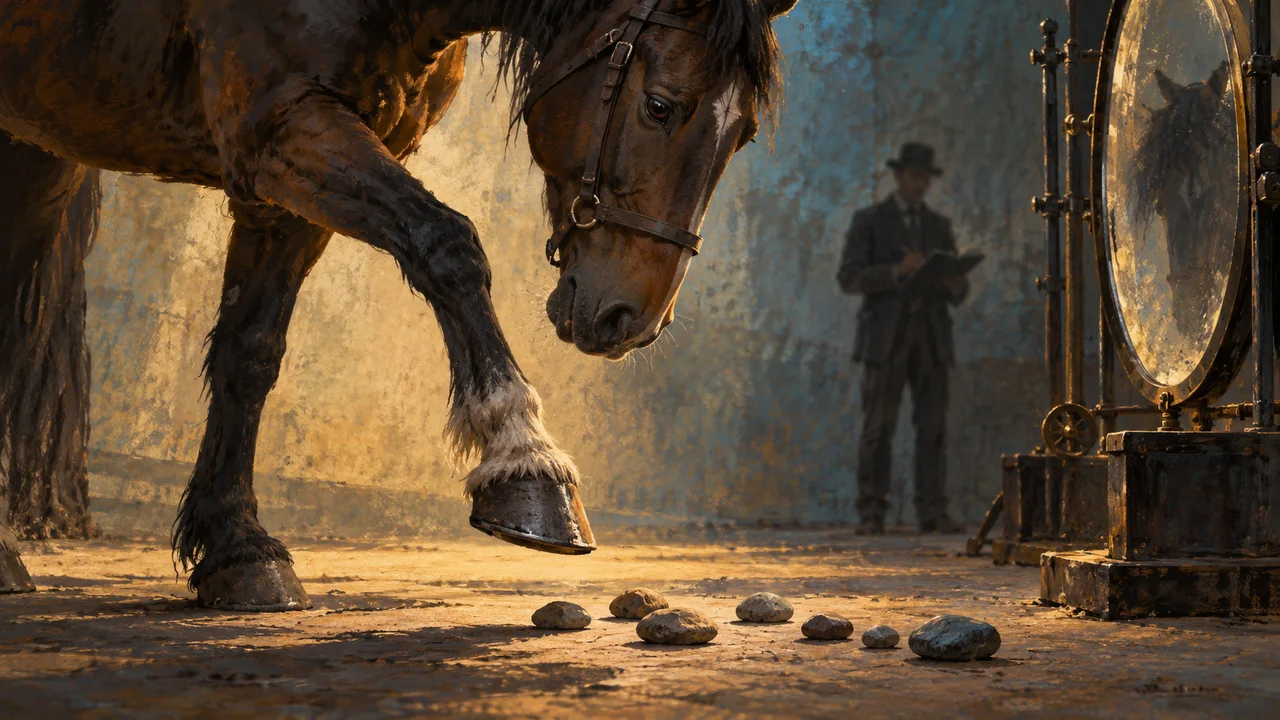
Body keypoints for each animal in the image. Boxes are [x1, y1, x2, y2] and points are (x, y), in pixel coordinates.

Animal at [0, 0, 798, 609]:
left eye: (743, 134)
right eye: (661, 105)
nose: (631, 319)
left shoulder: (286, 179)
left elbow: (249, 353)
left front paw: (239, 548)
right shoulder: (286, 127)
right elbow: (447, 243)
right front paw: (527, 460)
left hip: (38, 155)